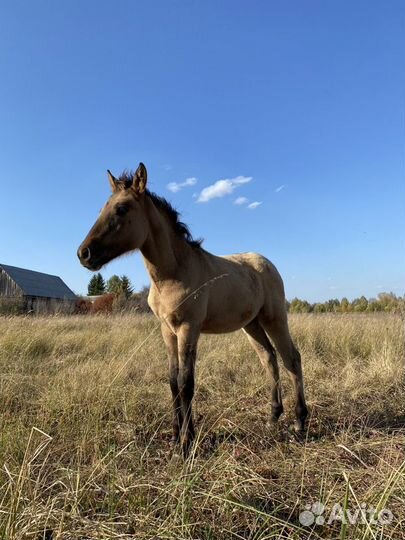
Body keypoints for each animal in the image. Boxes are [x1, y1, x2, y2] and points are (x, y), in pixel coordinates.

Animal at [77, 162, 308, 454]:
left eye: (121, 209)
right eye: (103, 208)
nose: (84, 254)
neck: (172, 273)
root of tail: (267, 263)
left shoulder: (189, 328)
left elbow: (187, 382)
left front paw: (188, 442)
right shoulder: (167, 330)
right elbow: (172, 381)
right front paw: (176, 435)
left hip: (274, 318)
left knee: (291, 358)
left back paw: (300, 423)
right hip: (251, 324)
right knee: (269, 358)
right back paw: (272, 417)